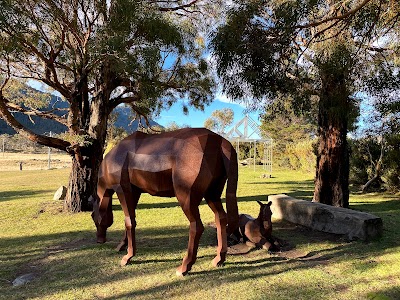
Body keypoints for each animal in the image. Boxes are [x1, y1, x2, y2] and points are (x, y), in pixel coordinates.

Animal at [92, 127, 239, 276]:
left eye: (93, 216)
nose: (100, 240)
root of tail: (221, 142)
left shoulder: (122, 188)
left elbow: (129, 222)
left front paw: (127, 257)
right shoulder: (135, 191)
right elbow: (131, 219)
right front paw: (121, 246)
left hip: (186, 196)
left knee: (197, 226)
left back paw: (184, 267)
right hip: (212, 194)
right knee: (221, 218)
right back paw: (219, 259)